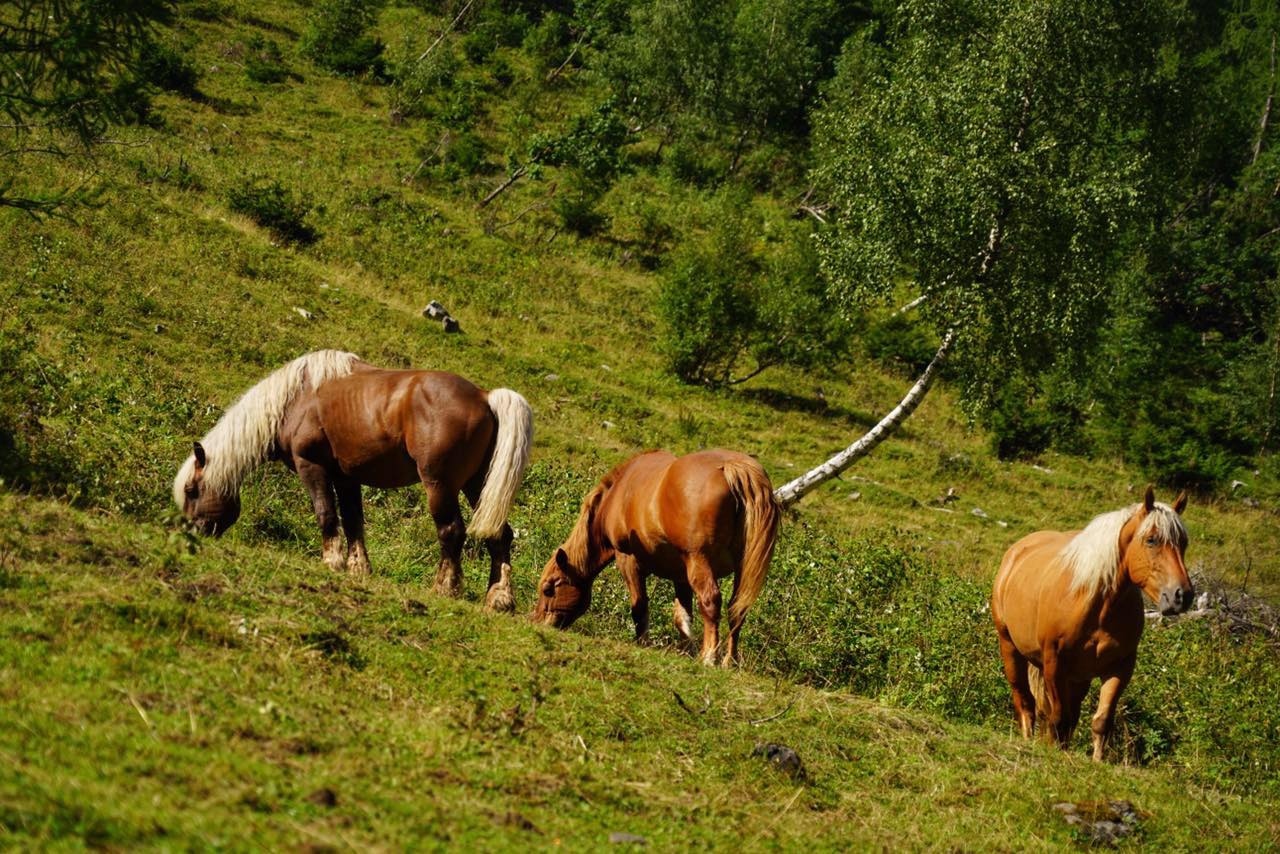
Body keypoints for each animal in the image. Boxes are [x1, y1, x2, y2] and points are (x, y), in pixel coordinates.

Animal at [172, 350, 532, 612]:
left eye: (191, 490)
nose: (191, 533)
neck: (295, 399)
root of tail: (485, 396)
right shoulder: (346, 477)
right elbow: (353, 520)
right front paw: (358, 568)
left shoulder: (312, 466)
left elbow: (326, 514)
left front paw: (331, 562)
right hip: (477, 485)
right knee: (500, 534)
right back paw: (499, 597)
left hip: (440, 484)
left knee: (451, 531)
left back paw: (445, 587)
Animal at [529, 450, 778, 665]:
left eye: (549, 589)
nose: (537, 621)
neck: (619, 493)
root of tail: (732, 467)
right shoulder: (681, 575)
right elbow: (682, 617)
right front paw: (685, 651)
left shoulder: (629, 560)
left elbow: (639, 607)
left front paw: (642, 643)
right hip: (740, 570)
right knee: (737, 609)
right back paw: (729, 661)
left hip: (700, 562)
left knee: (711, 602)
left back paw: (709, 657)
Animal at [988, 486, 1187, 763]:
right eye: (1151, 540)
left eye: (1184, 543)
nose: (1181, 595)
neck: (1098, 606)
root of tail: (1016, 551)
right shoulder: (1054, 663)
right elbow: (1058, 718)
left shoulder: (1120, 667)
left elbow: (1099, 721)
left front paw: (1096, 761)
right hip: (1010, 648)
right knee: (1025, 702)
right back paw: (1028, 740)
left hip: (1078, 678)